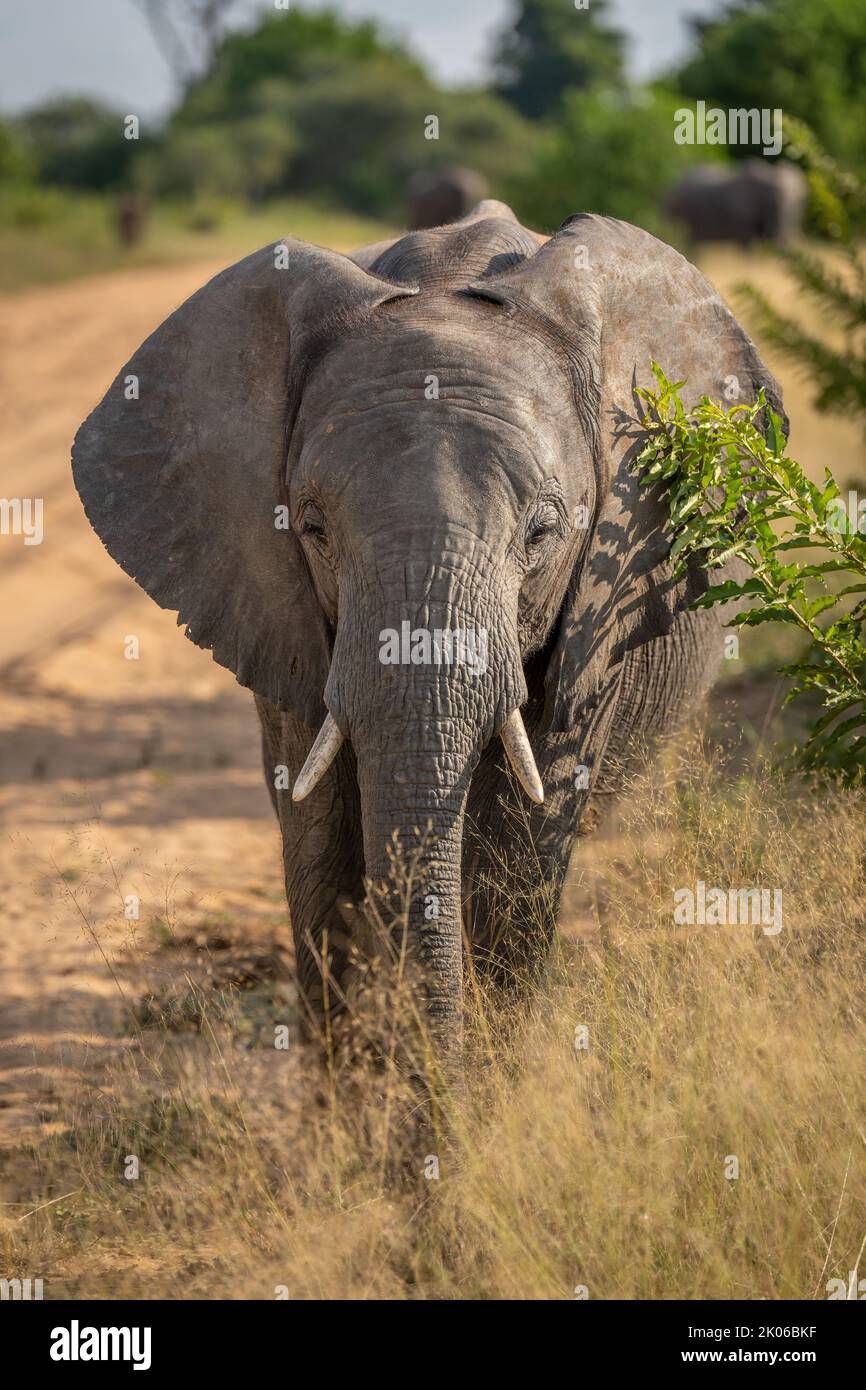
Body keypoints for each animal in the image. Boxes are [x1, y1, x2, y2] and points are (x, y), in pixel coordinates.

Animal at [72, 200, 784, 1068]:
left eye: (543, 531)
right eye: (311, 527)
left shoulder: (602, 603)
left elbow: (518, 855)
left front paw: (483, 1096)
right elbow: (322, 854)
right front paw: (366, 1103)